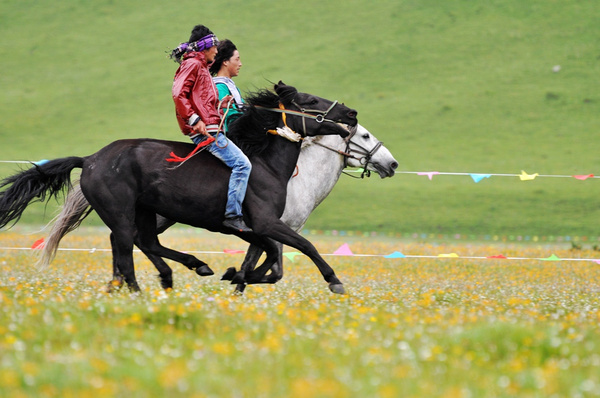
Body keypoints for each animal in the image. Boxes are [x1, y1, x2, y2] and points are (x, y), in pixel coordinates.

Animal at [0, 82, 356, 294]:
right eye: (310, 100)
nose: (350, 113)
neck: (265, 166)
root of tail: (90, 159)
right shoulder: (266, 223)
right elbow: (304, 247)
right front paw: (334, 281)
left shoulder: (257, 229)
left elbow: (271, 261)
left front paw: (237, 276)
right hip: (121, 212)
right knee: (126, 247)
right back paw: (138, 291)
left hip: (144, 211)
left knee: (144, 242)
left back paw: (185, 269)